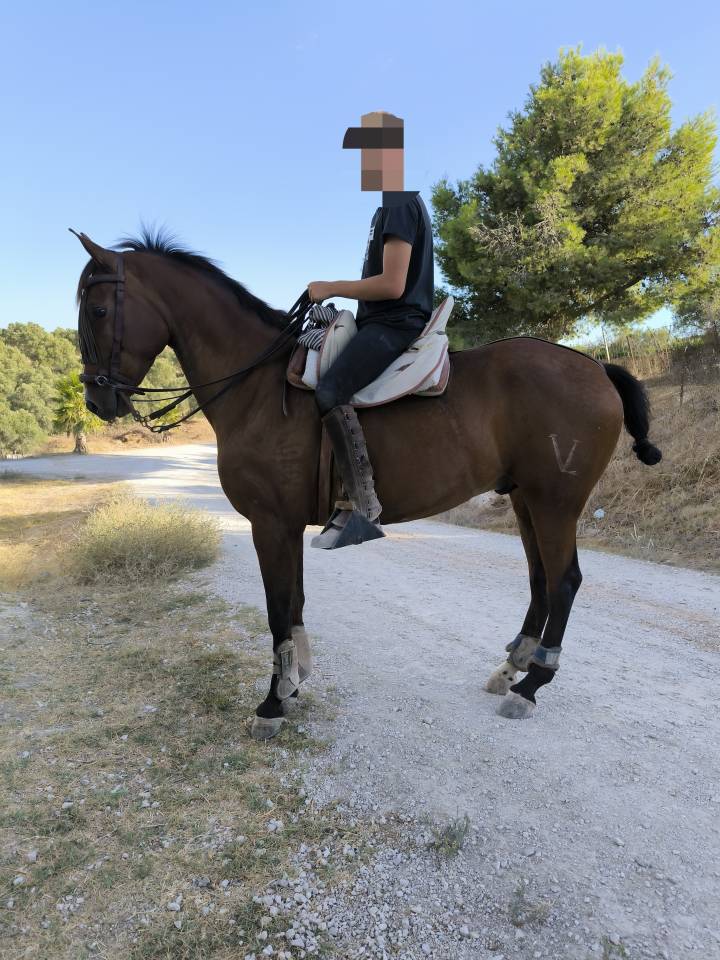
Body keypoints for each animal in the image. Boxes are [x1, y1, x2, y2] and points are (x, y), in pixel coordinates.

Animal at [72, 229, 662, 738]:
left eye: (98, 310)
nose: (97, 400)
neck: (256, 385)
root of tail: (597, 368)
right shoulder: (284, 526)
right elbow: (295, 603)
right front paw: (292, 686)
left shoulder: (270, 523)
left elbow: (278, 609)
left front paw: (272, 703)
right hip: (525, 499)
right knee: (540, 578)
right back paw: (512, 667)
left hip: (556, 502)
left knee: (564, 581)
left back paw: (532, 685)